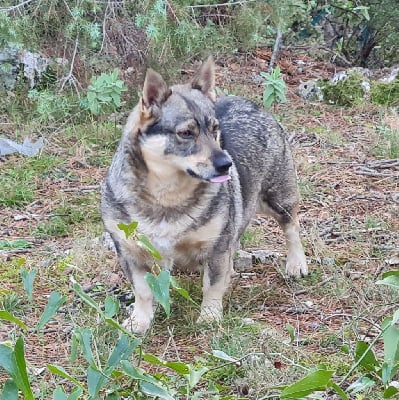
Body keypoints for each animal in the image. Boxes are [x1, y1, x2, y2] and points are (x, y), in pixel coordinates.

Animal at [101, 54, 308, 332]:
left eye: (214, 128)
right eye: (186, 133)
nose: (226, 164)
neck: (167, 195)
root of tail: (252, 104)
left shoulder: (216, 247)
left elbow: (212, 284)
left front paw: (209, 316)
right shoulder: (129, 252)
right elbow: (143, 291)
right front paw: (140, 321)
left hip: (278, 199)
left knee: (291, 227)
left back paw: (297, 263)